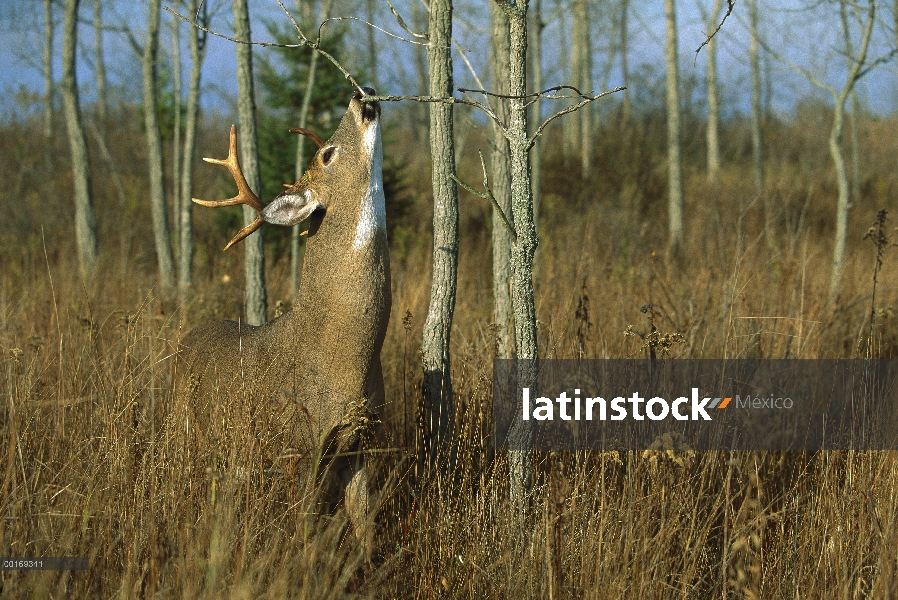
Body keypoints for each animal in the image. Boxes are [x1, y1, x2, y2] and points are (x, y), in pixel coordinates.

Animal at [180, 89, 390, 552]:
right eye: (328, 155)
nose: (360, 95)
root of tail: (186, 336)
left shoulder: (361, 445)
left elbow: (366, 528)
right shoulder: (301, 444)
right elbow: (305, 528)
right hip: (188, 426)